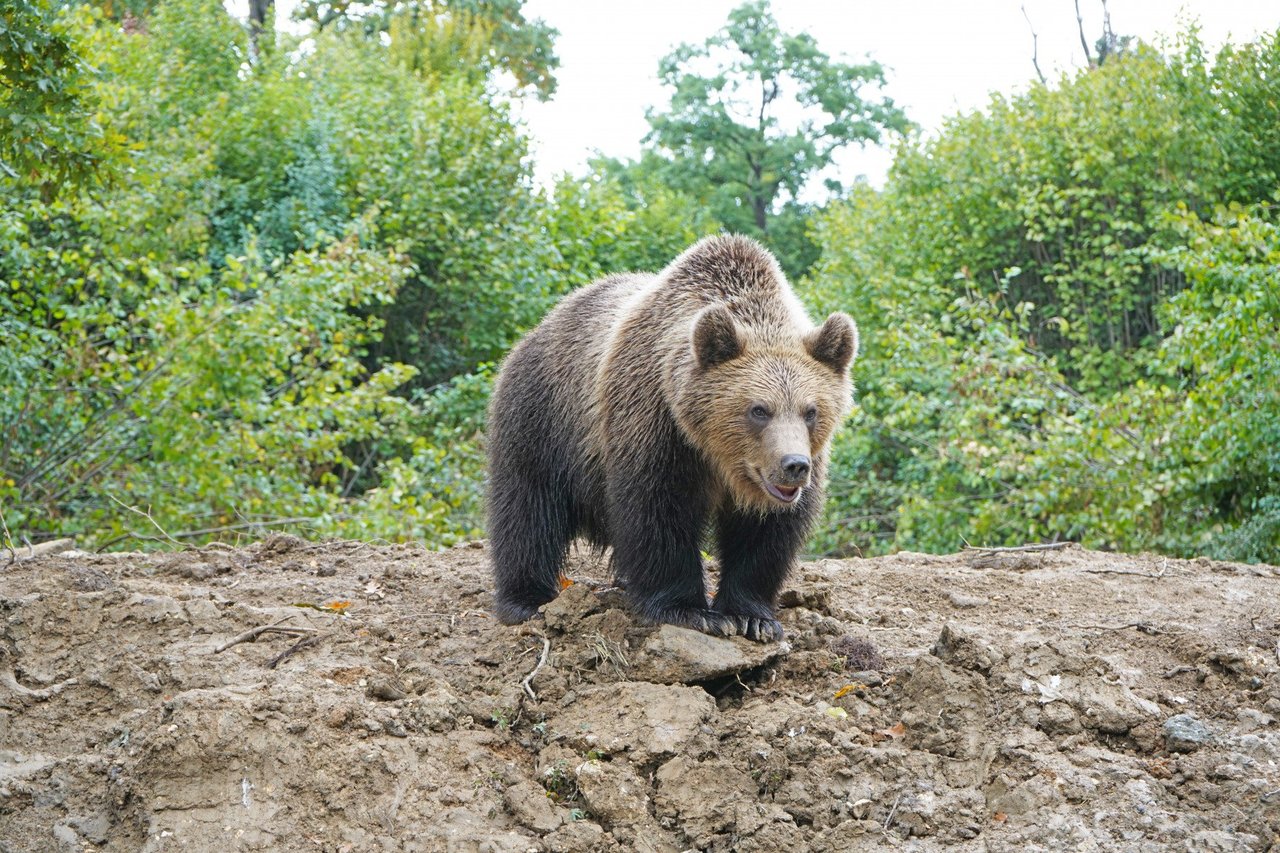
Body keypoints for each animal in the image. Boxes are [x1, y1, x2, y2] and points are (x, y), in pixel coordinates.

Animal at [483, 233, 855, 637]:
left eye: (811, 411)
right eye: (759, 410)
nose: (794, 465)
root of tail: (540, 327)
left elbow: (766, 532)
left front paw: (752, 617)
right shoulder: (654, 422)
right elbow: (658, 510)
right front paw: (690, 609)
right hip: (543, 417)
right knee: (528, 508)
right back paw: (526, 599)